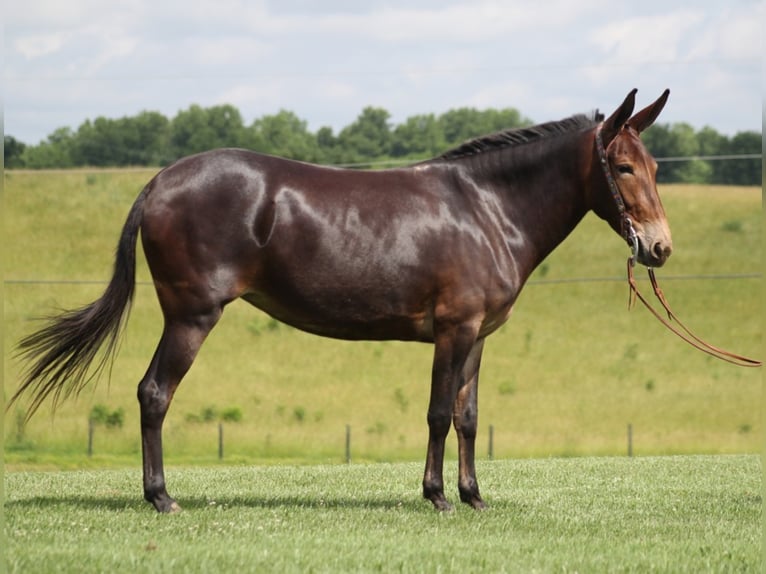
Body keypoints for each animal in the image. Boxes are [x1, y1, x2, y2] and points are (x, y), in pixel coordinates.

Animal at [10, 89, 672, 512]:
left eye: (656, 166)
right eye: (621, 167)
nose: (659, 247)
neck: (486, 208)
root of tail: (159, 181)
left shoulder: (478, 336)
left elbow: (468, 417)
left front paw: (474, 496)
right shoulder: (453, 330)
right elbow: (438, 413)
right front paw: (437, 497)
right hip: (191, 316)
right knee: (154, 393)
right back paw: (161, 497)